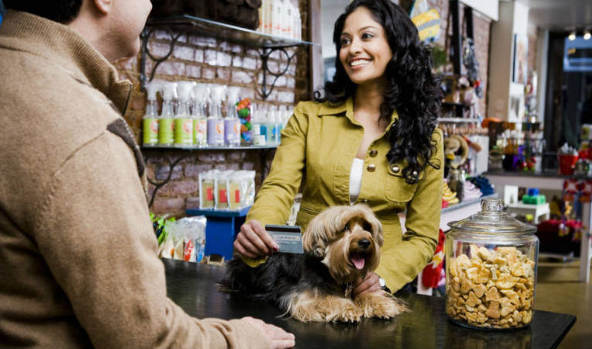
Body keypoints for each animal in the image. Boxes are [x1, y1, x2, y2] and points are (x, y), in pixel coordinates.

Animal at [222, 204, 408, 320]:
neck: (329, 271)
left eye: (366, 227)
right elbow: (324, 298)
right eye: (345, 227)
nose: (365, 242)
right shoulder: (301, 297)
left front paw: (382, 303)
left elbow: (365, 293)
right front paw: (346, 308)